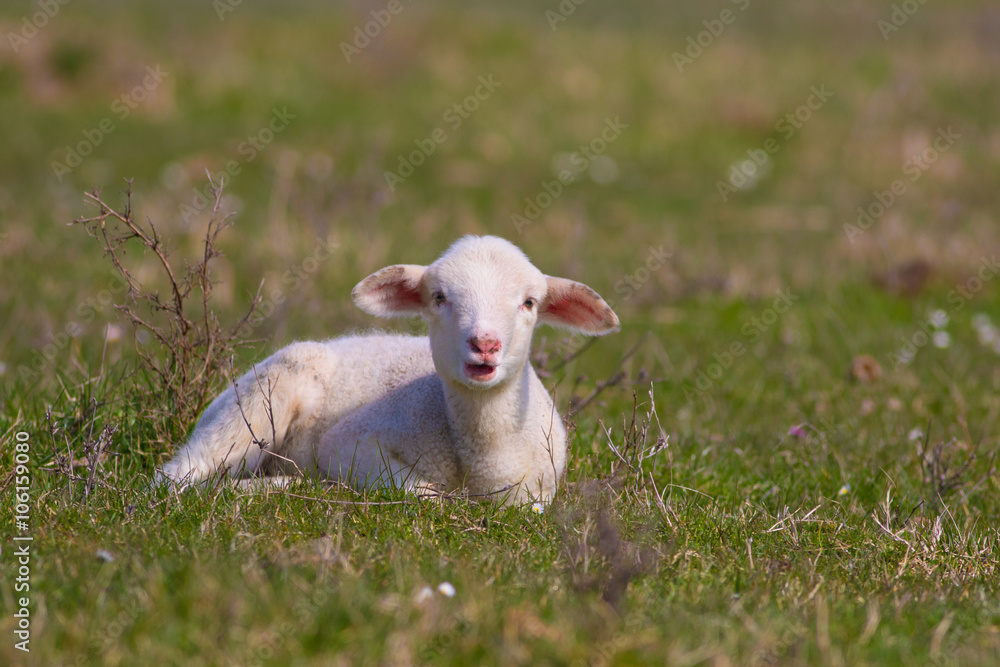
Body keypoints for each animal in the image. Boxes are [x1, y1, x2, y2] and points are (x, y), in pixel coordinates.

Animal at [157, 235, 619, 503]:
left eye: (529, 303)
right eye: (439, 297)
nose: (485, 345)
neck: (484, 457)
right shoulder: (350, 444)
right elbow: (420, 491)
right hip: (256, 402)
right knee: (176, 477)